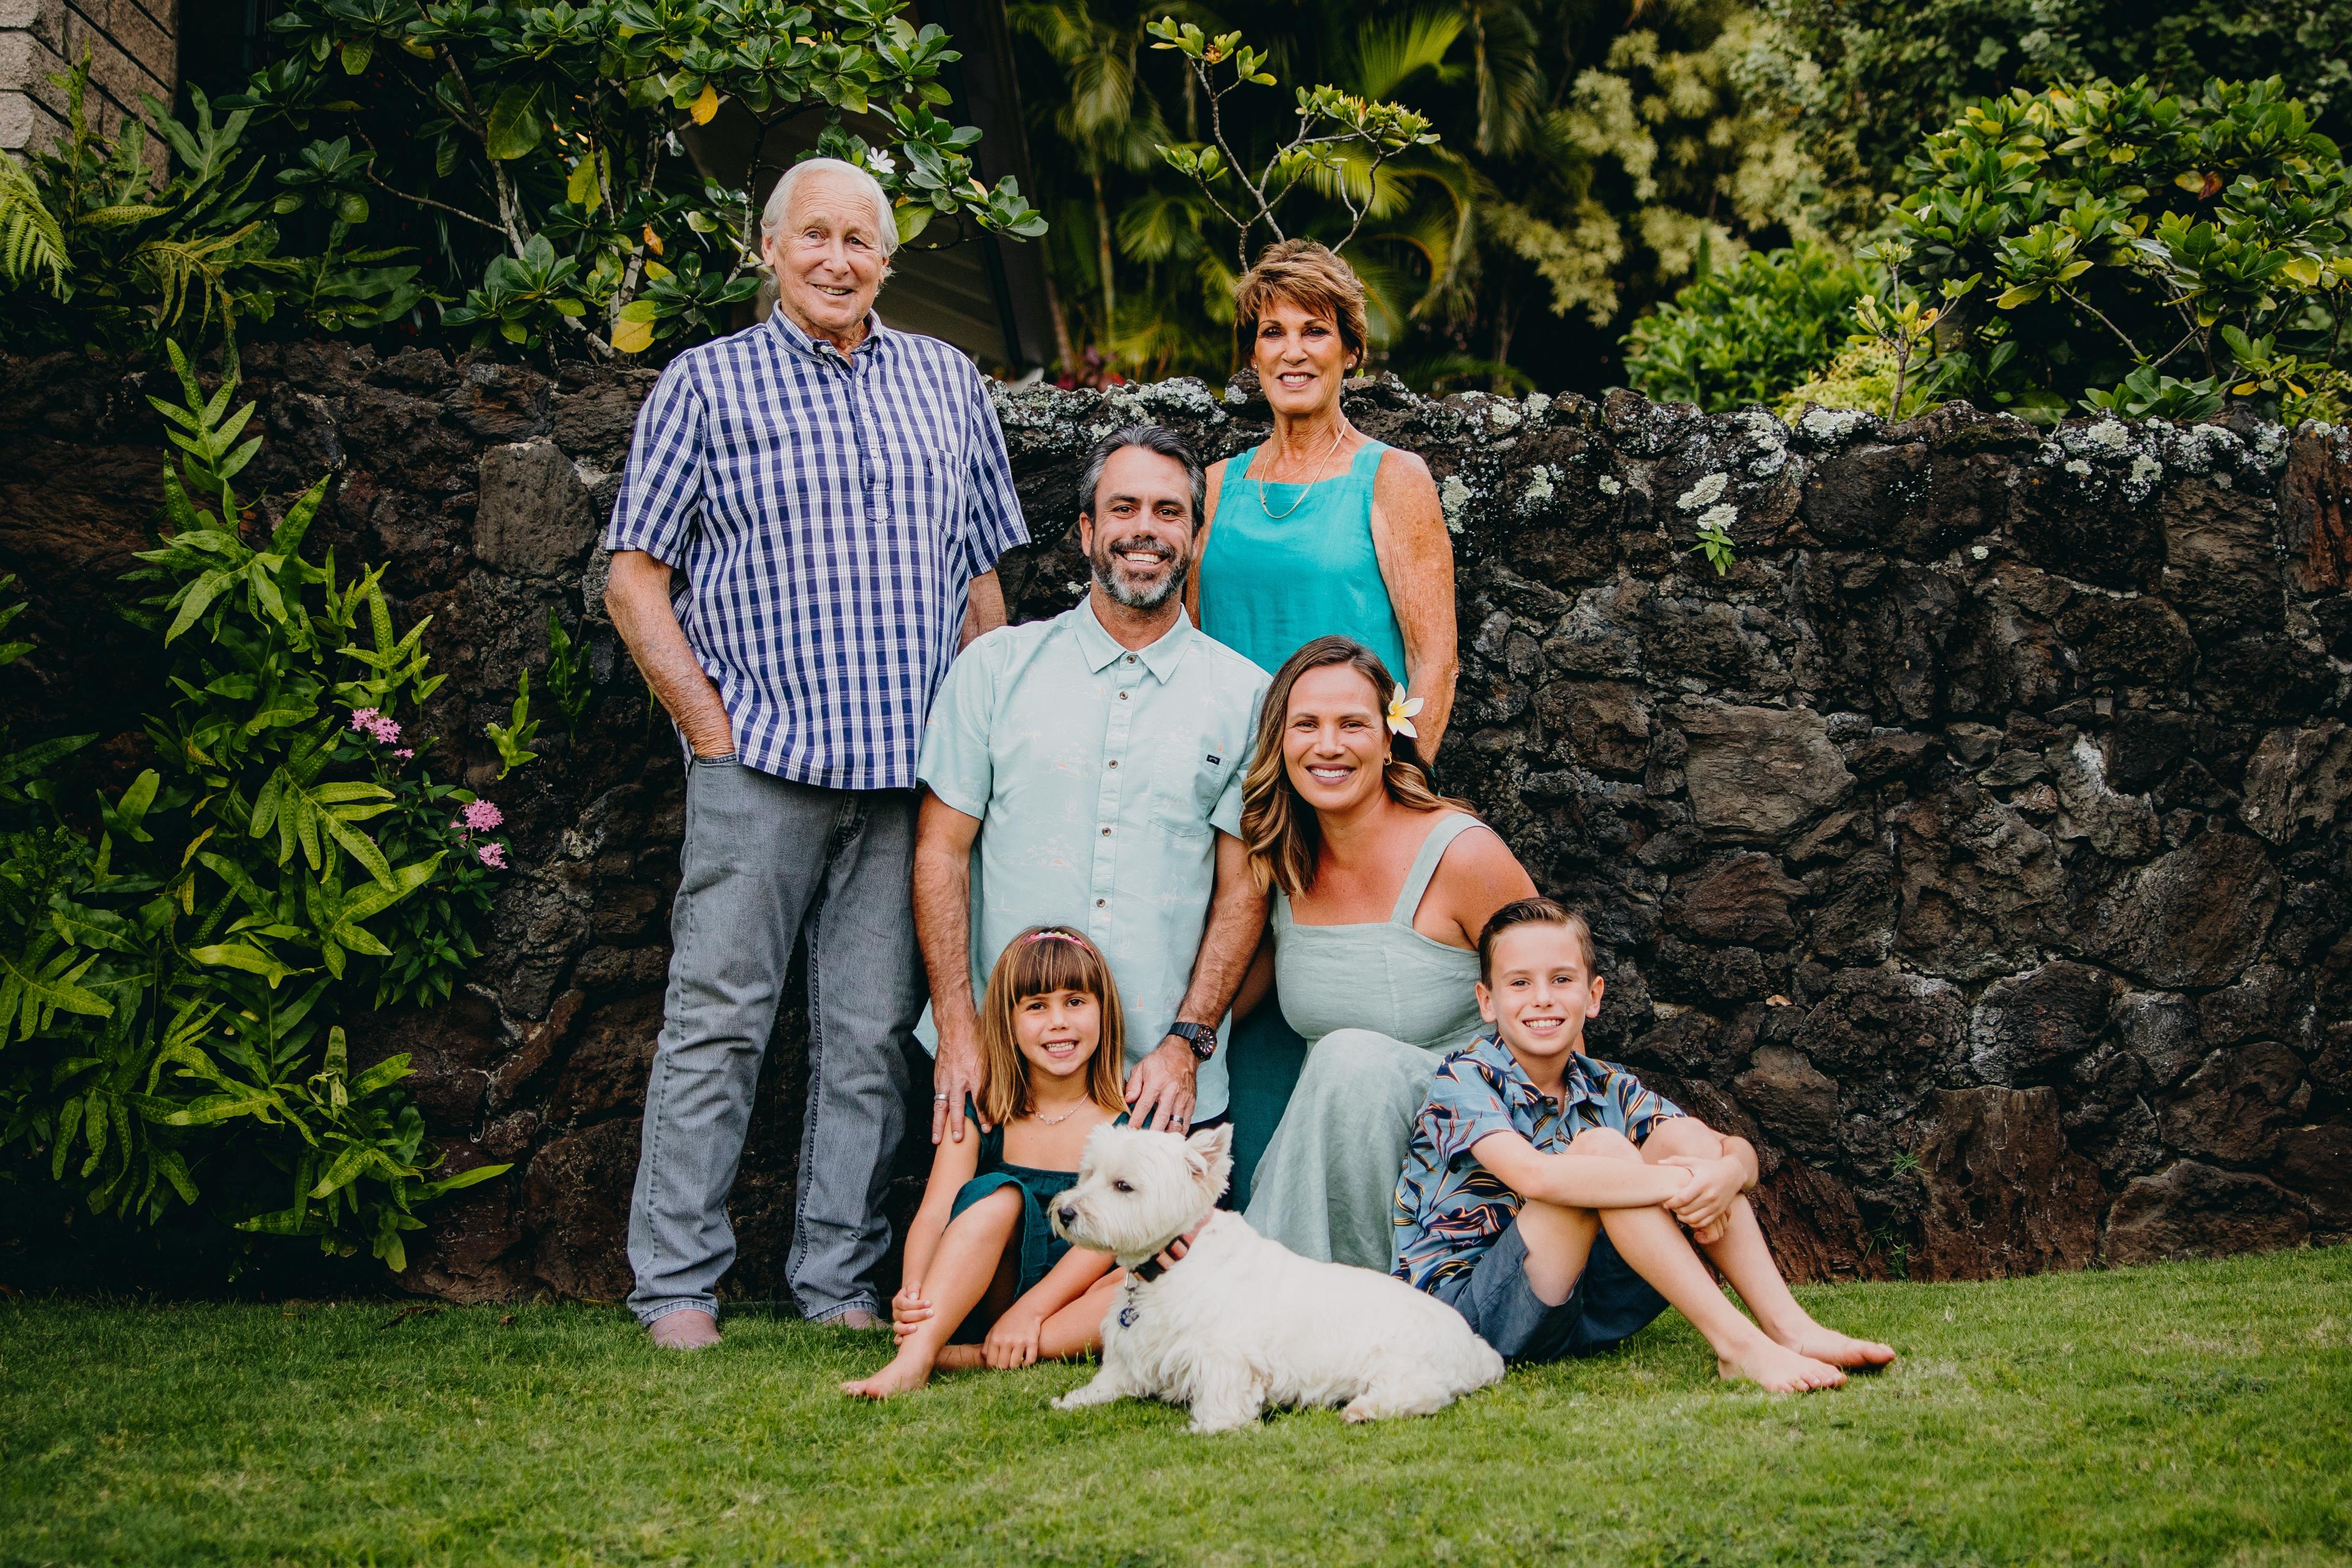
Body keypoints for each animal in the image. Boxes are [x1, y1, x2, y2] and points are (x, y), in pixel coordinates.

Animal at [1054, 1128, 1505, 1438]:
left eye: (1124, 1186)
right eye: (1088, 1174)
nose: (1065, 1213)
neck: (1175, 1260)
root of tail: (1476, 1348)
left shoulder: (1225, 1354)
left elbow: (1222, 1395)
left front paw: (1210, 1426)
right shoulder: (1133, 1354)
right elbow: (1107, 1383)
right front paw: (1072, 1400)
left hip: (1400, 1361)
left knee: (1422, 1394)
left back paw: (1362, 1410)